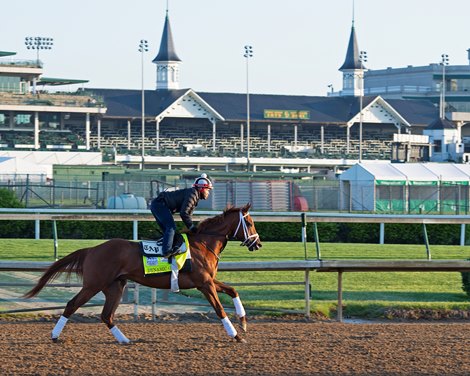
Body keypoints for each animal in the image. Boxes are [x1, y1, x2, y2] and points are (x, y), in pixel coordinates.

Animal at [24, 203, 260, 344]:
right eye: (249, 222)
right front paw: (236, 335)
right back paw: (55, 335)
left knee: (106, 315)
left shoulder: (208, 280)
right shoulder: (204, 284)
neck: (202, 243)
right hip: (93, 285)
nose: (257, 243)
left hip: (115, 287)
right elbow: (219, 309)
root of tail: (92, 249)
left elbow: (233, 290)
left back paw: (124, 340)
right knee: (72, 305)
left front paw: (243, 321)